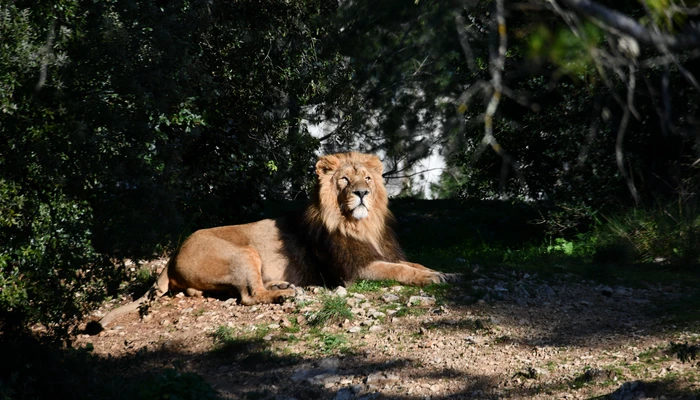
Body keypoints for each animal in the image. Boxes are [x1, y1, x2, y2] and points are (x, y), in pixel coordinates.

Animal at [97, 152, 460, 330]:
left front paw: (447, 273)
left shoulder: (382, 252)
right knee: (248, 296)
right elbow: (401, 271)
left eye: (367, 178)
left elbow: (413, 264)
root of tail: (172, 256)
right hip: (243, 252)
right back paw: (286, 295)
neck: (361, 226)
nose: (361, 193)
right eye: (345, 179)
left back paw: (285, 287)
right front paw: (434, 278)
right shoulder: (353, 273)